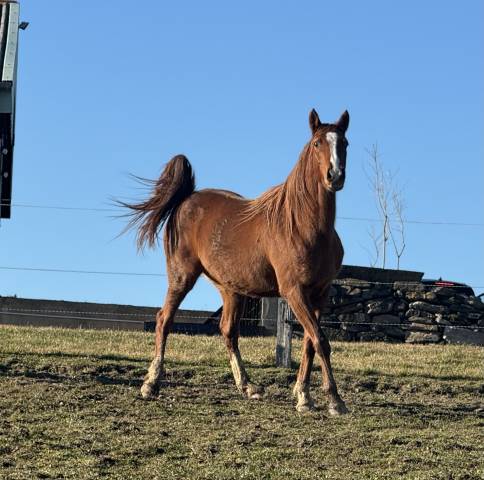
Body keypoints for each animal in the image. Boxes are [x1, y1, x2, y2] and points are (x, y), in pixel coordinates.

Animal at [123, 108, 350, 412]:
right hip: (182, 276)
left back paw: (248, 386)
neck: (303, 226)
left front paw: (304, 395)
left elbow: (310, 343)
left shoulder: (320, 294)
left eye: (344, 143)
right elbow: (321, 340)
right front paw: (334, 400)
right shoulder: (293, 291)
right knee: (164, 321)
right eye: (317, 144)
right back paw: (151, 383)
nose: (334, 176)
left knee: (228, 331)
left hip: (230, 289)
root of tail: (187, 198)